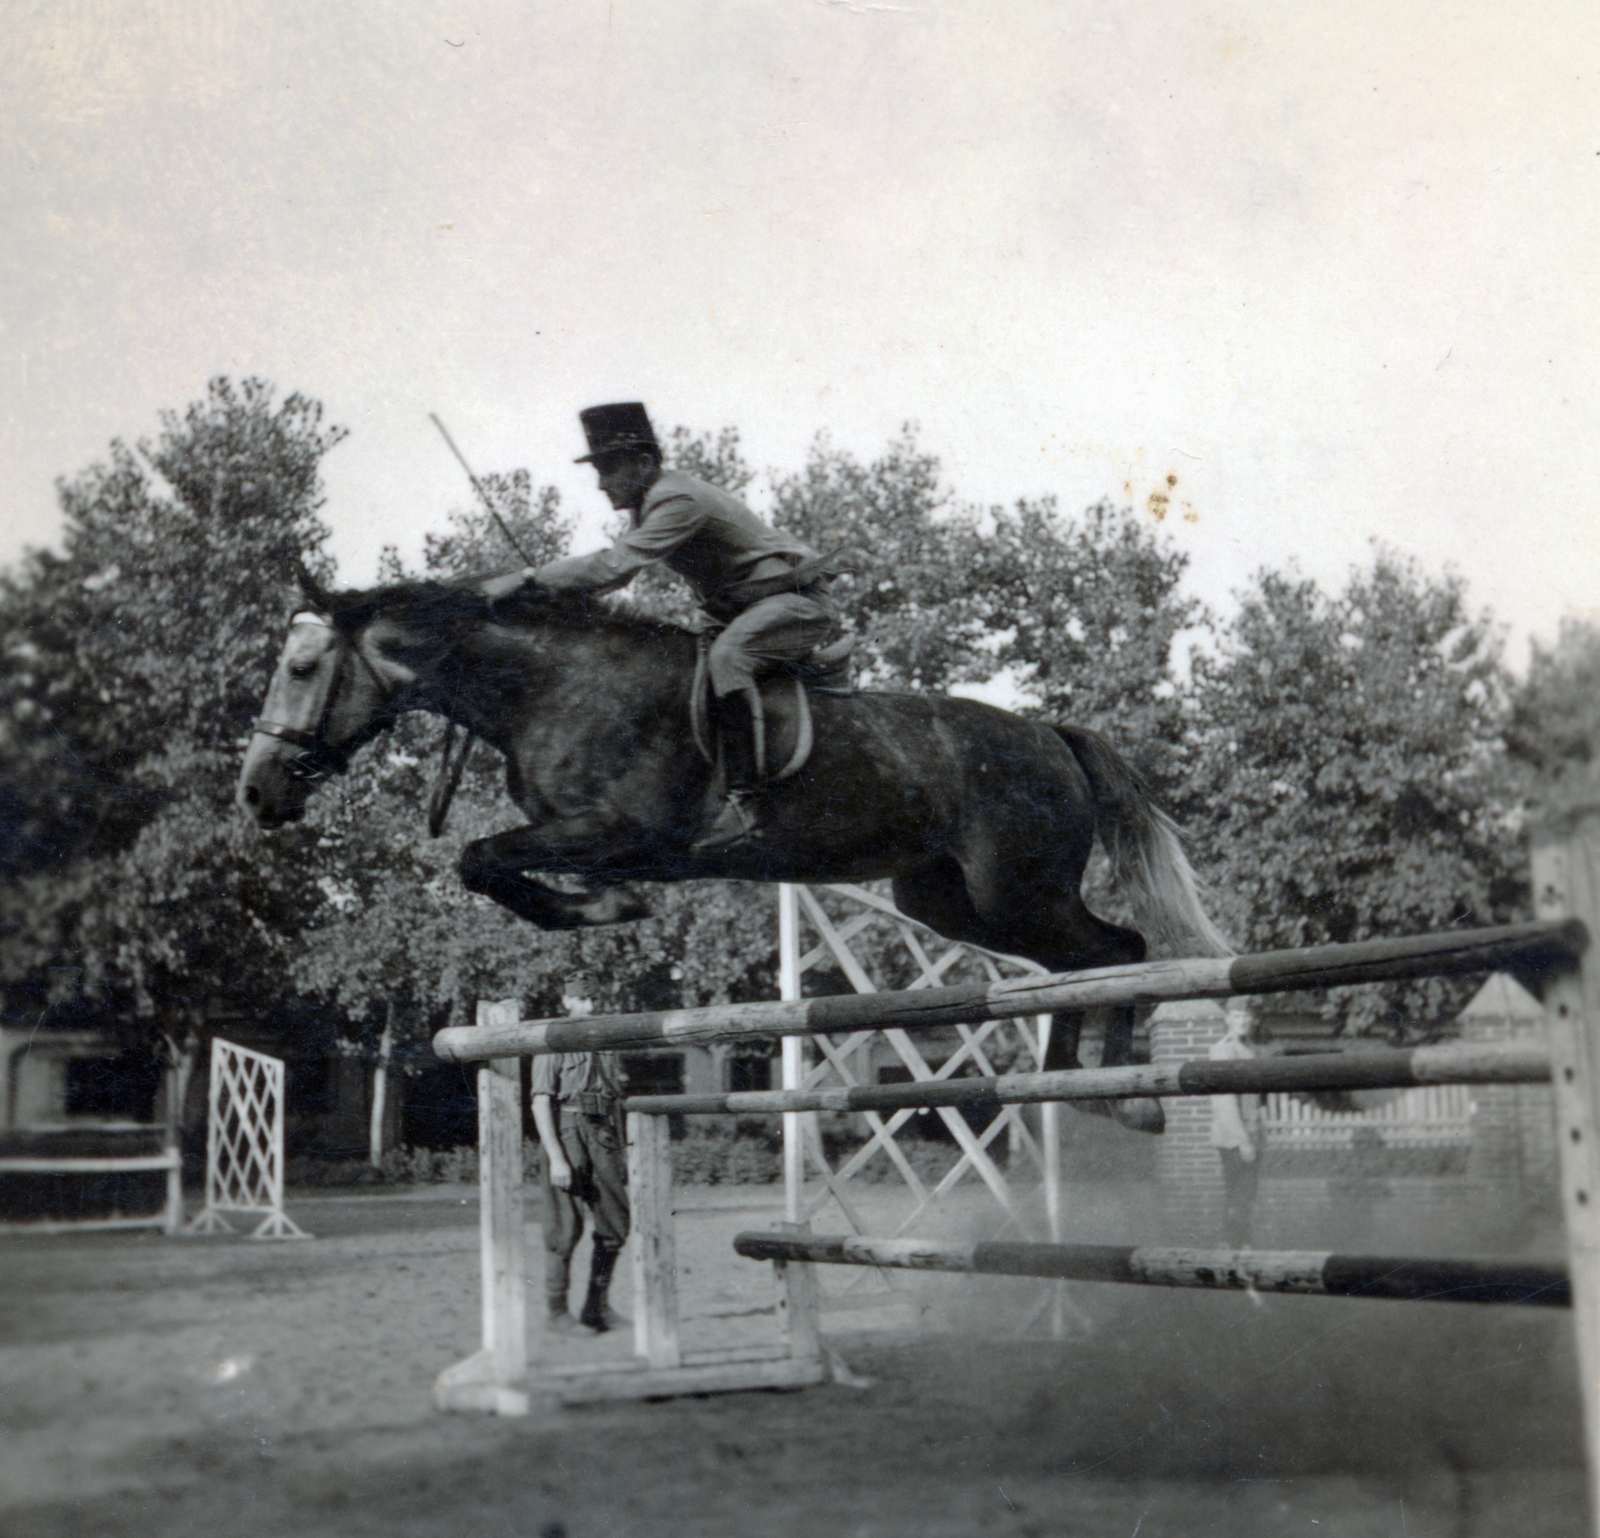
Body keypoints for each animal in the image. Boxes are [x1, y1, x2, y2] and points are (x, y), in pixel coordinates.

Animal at [240, 569, 1235, 1120]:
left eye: (302, 668)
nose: (257, 792)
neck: (547, 687)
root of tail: (1050, 733)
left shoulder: (624, 832)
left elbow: (482, 858)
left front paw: (599, 909)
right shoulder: (601, 837)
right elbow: (485, 862)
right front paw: (593, 908)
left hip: (1016, 888)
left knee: (1121, 950)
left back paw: (1117, 1086)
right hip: (948, 899)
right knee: (1081, 963)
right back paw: (1066, 1081)